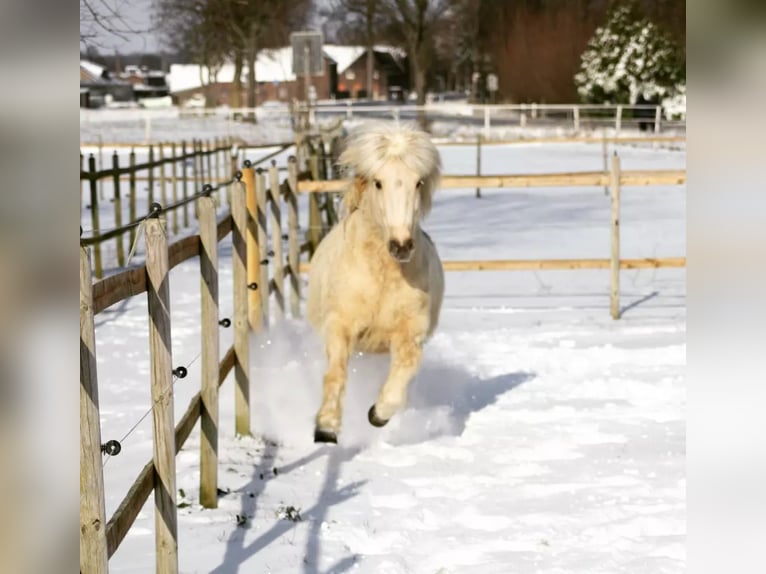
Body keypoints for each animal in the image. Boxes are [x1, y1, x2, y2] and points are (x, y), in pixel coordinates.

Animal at [308, 121, 448, 446]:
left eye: (418, 182)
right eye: (378, 183)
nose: (401, 246)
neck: (382, 277)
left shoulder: (409, 335)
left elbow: (401, 380)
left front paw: (377, 414)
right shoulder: (340, 326)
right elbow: (335, 374)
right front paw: (326, 428)